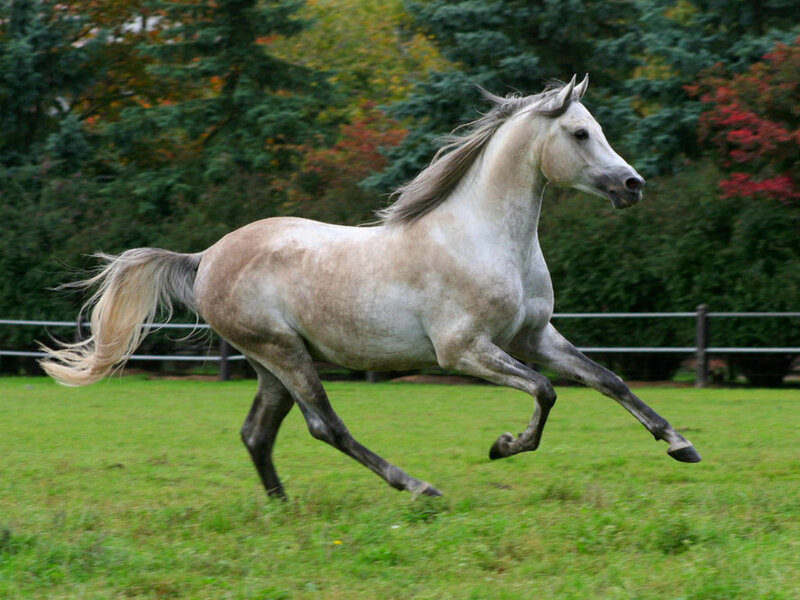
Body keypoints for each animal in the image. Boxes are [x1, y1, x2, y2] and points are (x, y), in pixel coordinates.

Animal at [41, 75, 701, 499]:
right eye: (580, 134)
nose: (633, 185)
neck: (484, 237)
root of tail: (205, 257)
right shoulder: (464, 352)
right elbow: (546, 392)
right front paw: (502, 445)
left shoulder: (533, 336)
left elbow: (606, 379)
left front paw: (680, 445)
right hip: (283, 353)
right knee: (325, 426)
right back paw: (416, 486)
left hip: (272, 362)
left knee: (258, 432)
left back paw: (282, 506)